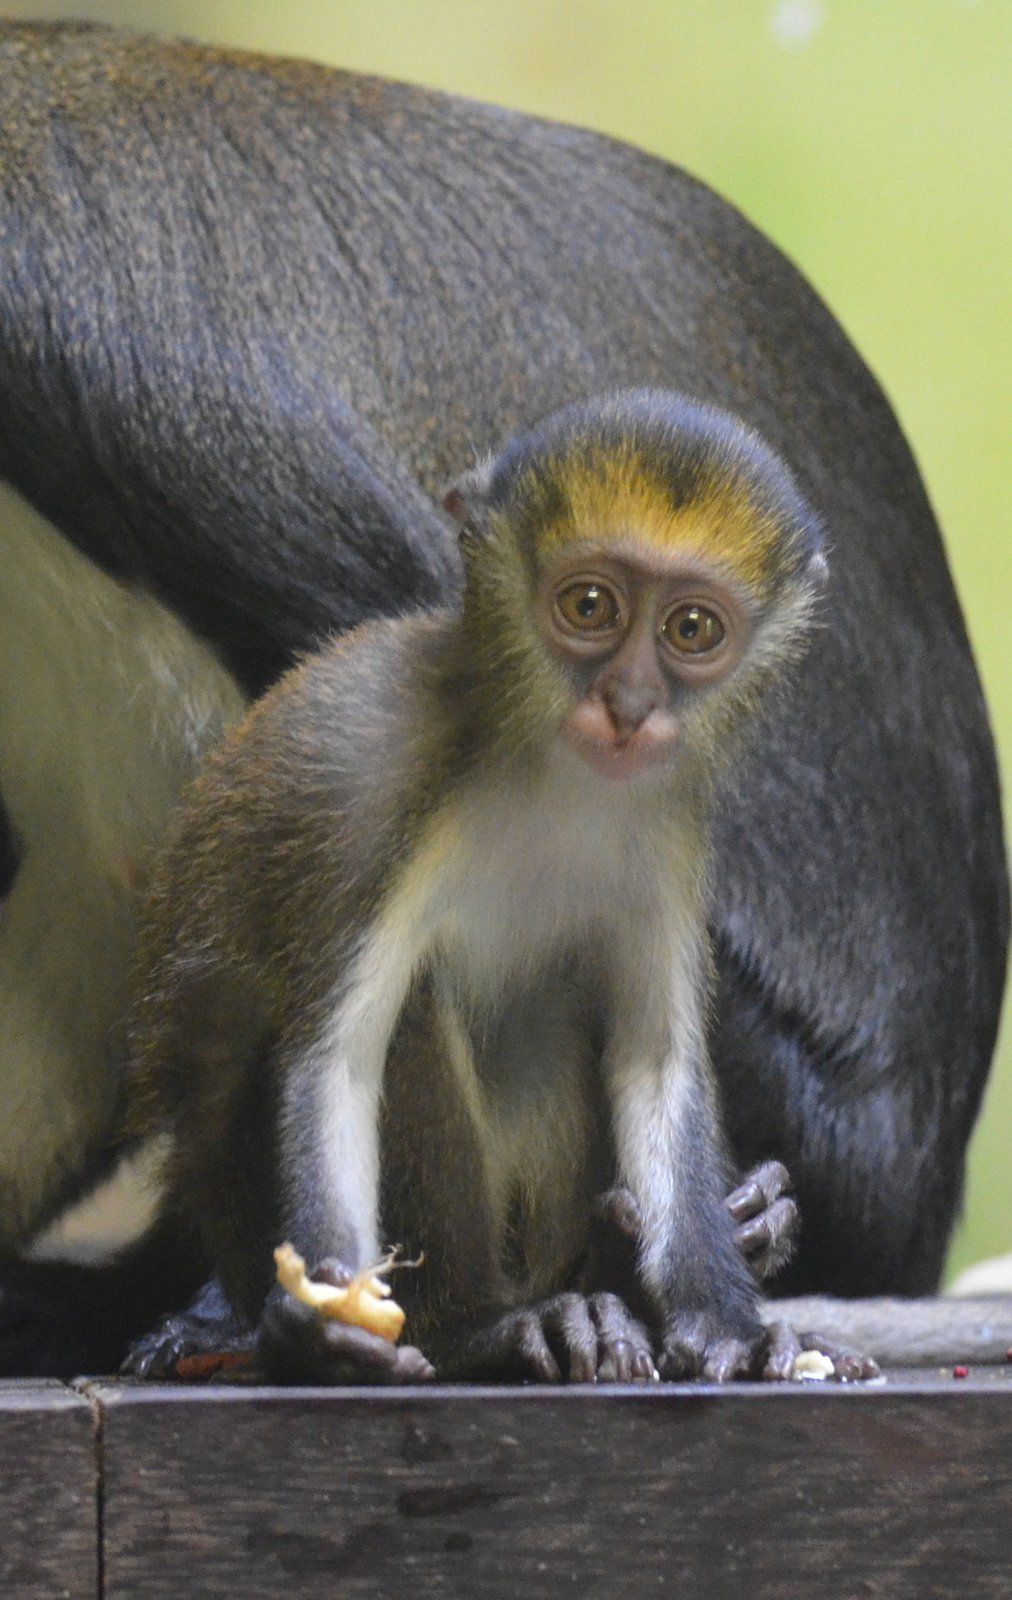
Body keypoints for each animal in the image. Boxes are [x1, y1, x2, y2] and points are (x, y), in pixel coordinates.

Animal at [124, 393, 819, 1382]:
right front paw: (326, 1323)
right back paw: (480, 1327)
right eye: (590, 606)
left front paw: (728, 1322)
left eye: (691, 629)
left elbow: (654, 1060)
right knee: (415, 1007)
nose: (629, 704)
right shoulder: (384, 795)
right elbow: (337, 1060)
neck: (548, 773)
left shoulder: (668, 830)